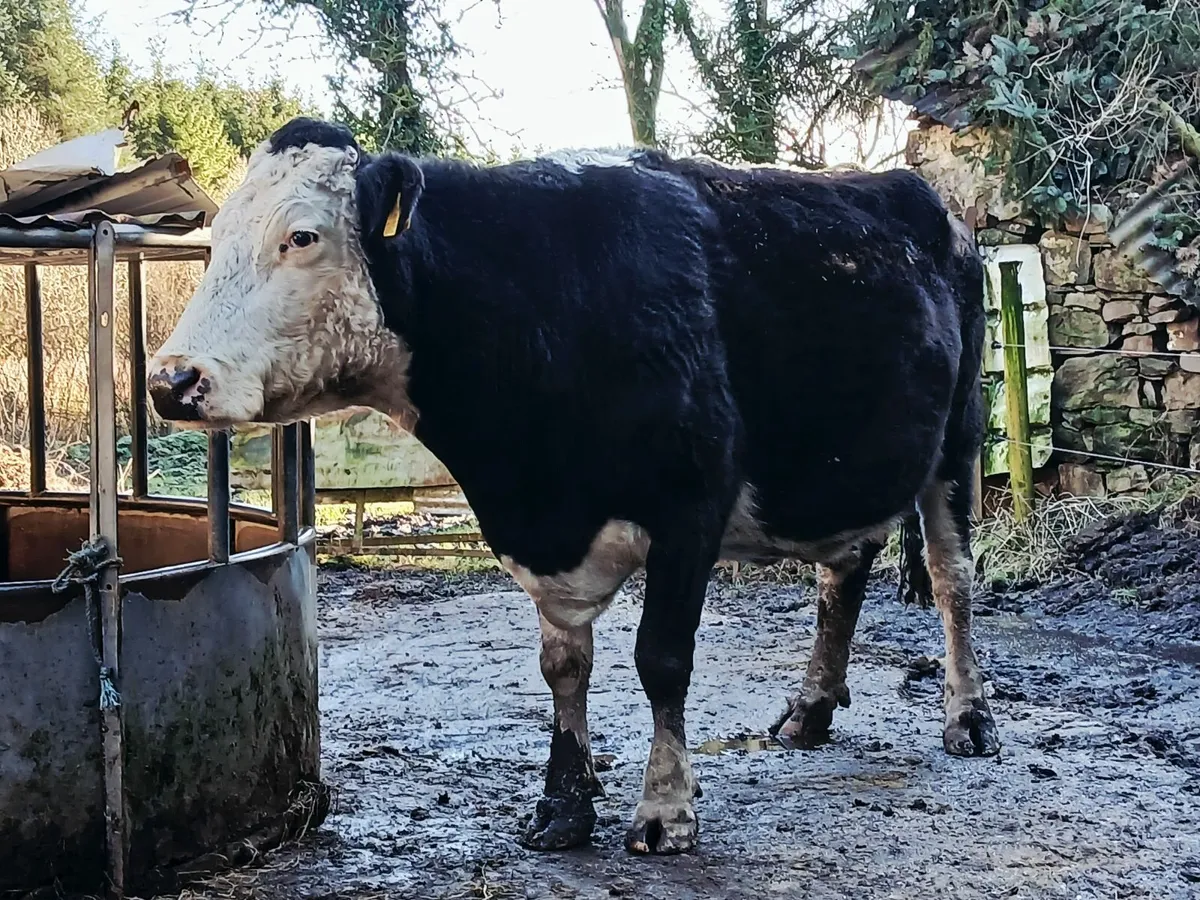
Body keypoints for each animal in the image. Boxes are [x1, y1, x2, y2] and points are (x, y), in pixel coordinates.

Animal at [147, 116, 1000, 856]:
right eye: (216, 240)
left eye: (302, 237)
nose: (170, 380)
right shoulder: (539, 530)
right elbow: (563, 666)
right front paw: (562, 804)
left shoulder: (691, 502)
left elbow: (662, 659)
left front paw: (665, 811)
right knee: (844, 569)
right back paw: (813, 708)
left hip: (958, 438)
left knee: (952, 577)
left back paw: (969, 716)